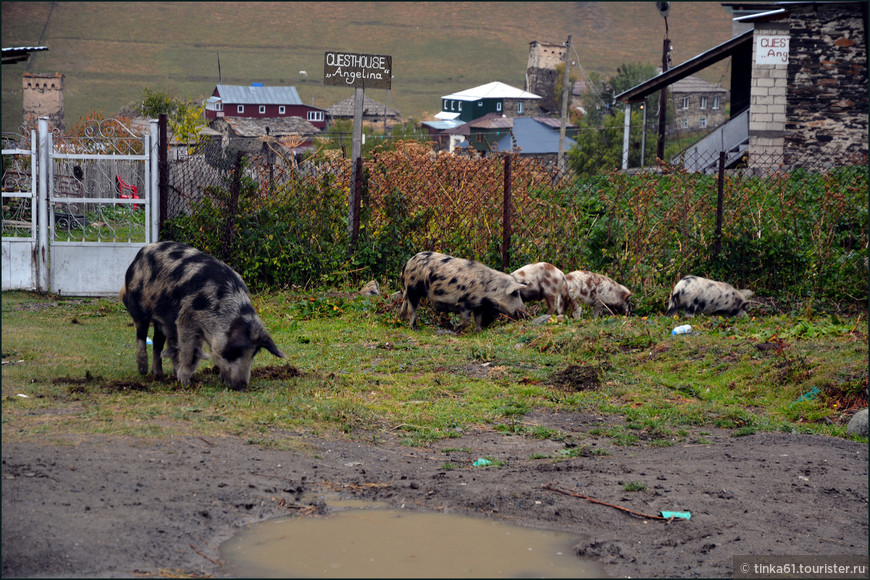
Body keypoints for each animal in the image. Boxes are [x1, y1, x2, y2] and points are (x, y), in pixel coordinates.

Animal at [120, 240, 286, 390]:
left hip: (161, 319)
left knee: (157, 342)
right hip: (138, 305)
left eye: (253, 354)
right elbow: (187, 351)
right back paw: (143, 370)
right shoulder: (186, 319)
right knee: (141, 334)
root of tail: (141, 253)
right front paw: (184, 382)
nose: (242, 386)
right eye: (234, 352)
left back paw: (158, 374)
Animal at [398, 253, 528, 334]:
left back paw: (401, 318)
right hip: (413, 287)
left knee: (405, 302)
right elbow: (467, 319)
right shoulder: (465, 302)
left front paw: (479, 332)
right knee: (412, 308)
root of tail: (407, 263)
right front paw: (456, 329)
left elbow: (478, 319)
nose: (526, 314)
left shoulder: (479, 305)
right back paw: (415, 328)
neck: (489, 290)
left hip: (409, 289)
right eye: (515, 294)